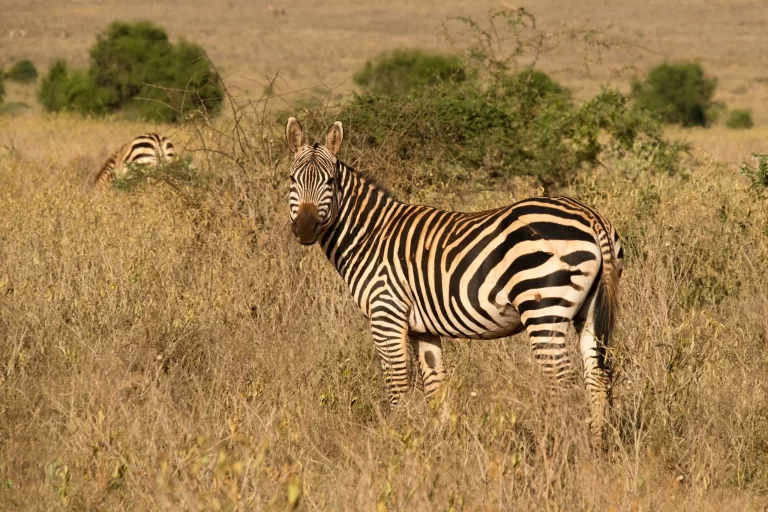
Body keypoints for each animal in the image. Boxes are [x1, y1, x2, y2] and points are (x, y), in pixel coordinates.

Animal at [285, 117, 623, 444]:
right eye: (291, 179)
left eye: (329, 182)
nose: (304, 228)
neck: (369, 235)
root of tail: (591, 216)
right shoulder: (423, 329)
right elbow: (436, 386)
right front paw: (441, 445)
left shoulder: (386, 315)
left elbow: (397, 385)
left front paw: (395, 441)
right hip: (587, 311)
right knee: (596, 375)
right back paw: (596, 447)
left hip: (543, 307)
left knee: (562, 380)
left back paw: (559, 446)